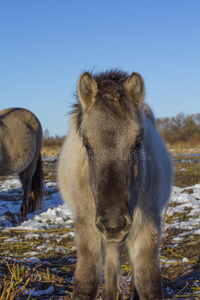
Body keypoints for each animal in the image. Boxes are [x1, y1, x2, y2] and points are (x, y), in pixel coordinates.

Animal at [57, 71, 172, 300]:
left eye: (138, 142)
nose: (113, 224)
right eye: (87, 144)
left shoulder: (146, 230)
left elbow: (149, 282)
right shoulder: (87, 231)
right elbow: (86, 283)